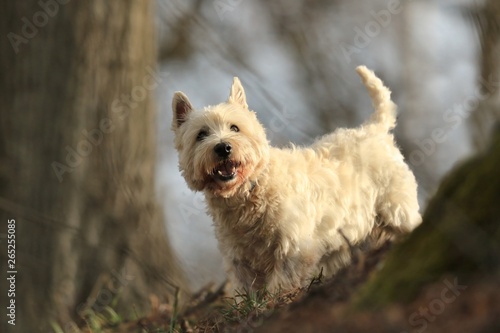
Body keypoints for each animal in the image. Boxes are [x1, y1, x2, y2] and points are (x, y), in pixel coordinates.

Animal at [172, 67, 422, 290]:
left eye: (235, 128)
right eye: (201, 135)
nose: (223, 148)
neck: (248, 192)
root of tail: (374, 129)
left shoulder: (293, 247)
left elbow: (281, 283)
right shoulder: (240, 259)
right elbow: (250, 291)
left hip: (396, 208)